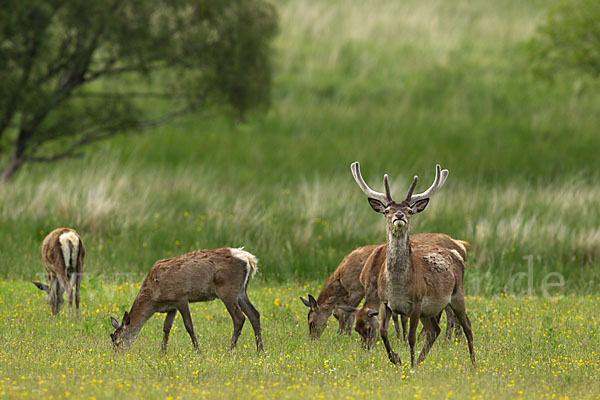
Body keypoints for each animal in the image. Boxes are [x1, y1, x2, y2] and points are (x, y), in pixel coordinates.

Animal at [109, 247, 262, 354]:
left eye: (117, 341)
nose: (117, 355)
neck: (155, 298)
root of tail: (249, 259)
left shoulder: (180, 297)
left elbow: (189, 326)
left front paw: (198, 352)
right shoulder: (171, 306)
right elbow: (166, 328)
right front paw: (162, 353)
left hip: (227, 289)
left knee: (239, 318)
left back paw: (230, 350)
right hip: (241, 291)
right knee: (254, 314)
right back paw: (260, 351)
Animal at [350, 162, 476, 366]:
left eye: (409, 211)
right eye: (387, 211)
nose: (399, 215)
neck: (398, 286)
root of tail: (457, 252)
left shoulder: (417, 302)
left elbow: (411, 337)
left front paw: (408, 365)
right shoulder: (386, 302)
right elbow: (384, 332)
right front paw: (396, 359)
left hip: (457, 295)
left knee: (467, 326)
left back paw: (473, 364)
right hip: (430, 310)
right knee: (434, 330)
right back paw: (420, 361)